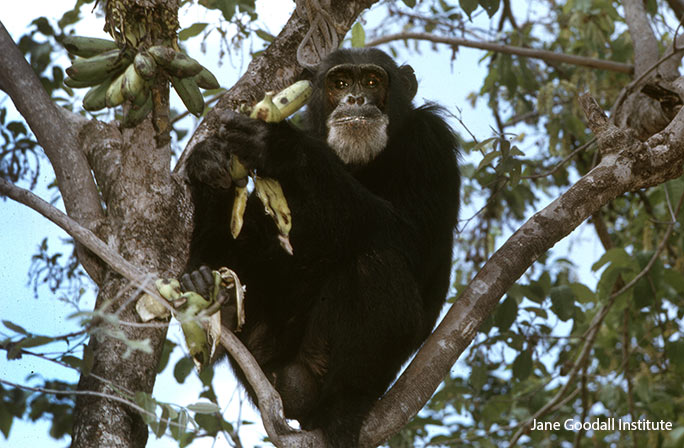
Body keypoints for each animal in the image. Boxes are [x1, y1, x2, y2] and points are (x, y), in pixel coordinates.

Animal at [183, 47, 460, 446]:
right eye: (339, 82)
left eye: (372, 81)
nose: (355, 99)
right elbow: (248, 240)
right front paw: (206, 160)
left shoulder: (431, 141)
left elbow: (412, 235)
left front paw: (281, 146)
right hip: (263, 362)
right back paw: (214, 296)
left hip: (318, 370)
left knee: (375, 266)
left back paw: (344, 406)